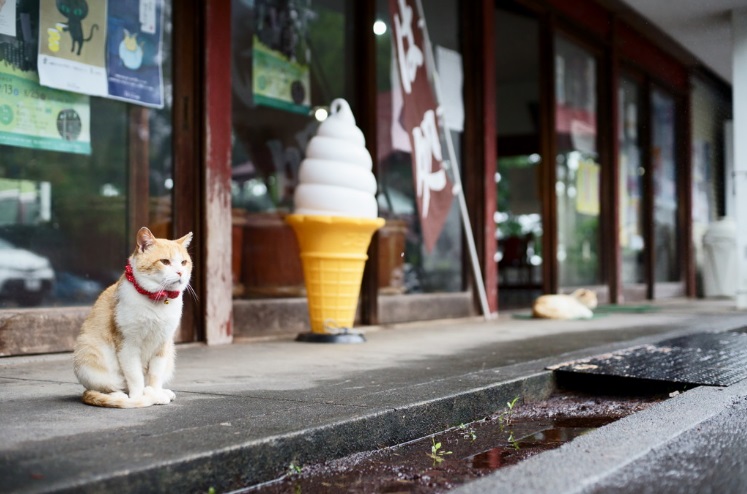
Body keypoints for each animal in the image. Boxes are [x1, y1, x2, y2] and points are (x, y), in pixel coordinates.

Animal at [72, 228, 193, 410]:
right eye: (165, 262)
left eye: (184, 262)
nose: (180, 272)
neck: (157, 300)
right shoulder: (128, 344)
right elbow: (135, 377)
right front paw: (138, 398)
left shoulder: (163, 344)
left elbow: (155, 375)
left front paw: (155, 394)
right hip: (90, 358)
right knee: (109, 388)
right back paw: (121, 395)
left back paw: (162, 392)